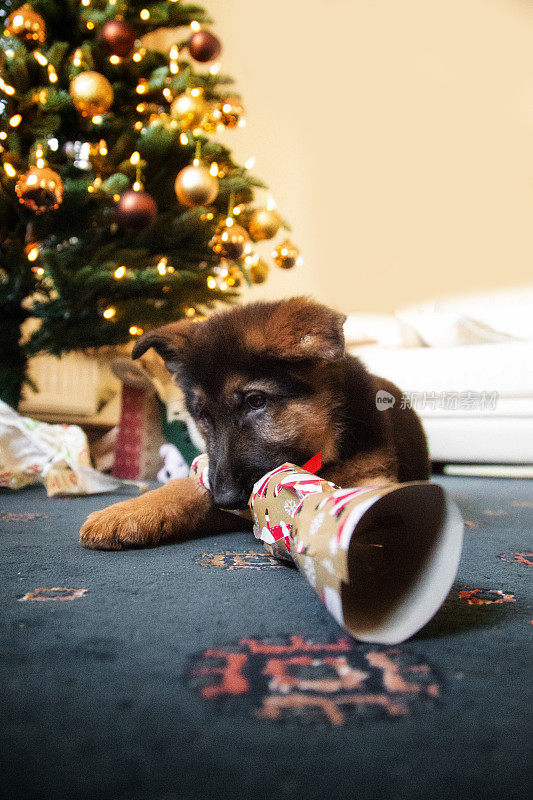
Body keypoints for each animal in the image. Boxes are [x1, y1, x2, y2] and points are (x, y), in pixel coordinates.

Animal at [79, 296, 428, 552]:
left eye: (256, 402)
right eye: (203, 417)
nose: (226, 499)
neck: (330, 440)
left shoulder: (373, 481)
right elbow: (189, 486)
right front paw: (131, 509)